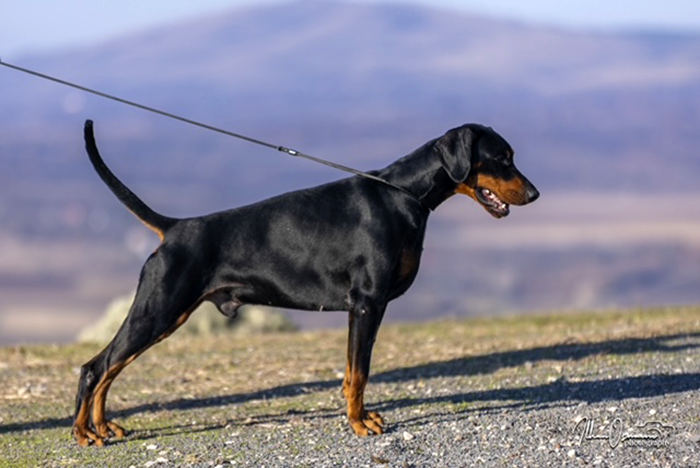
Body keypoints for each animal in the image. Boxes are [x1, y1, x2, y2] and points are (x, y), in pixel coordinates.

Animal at [72, 120, 539, 446]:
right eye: (502, 157)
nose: (534, 195)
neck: (404, 193)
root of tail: (174, 229)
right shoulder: (367, 303)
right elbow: (359, 372)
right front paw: (360, 424)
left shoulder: (363, 309)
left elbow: (353, 372)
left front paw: (361, 417)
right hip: (159, 308)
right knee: (95, 367)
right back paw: (83, 433)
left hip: (165, 315)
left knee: (109, 368)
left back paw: (104, 426)